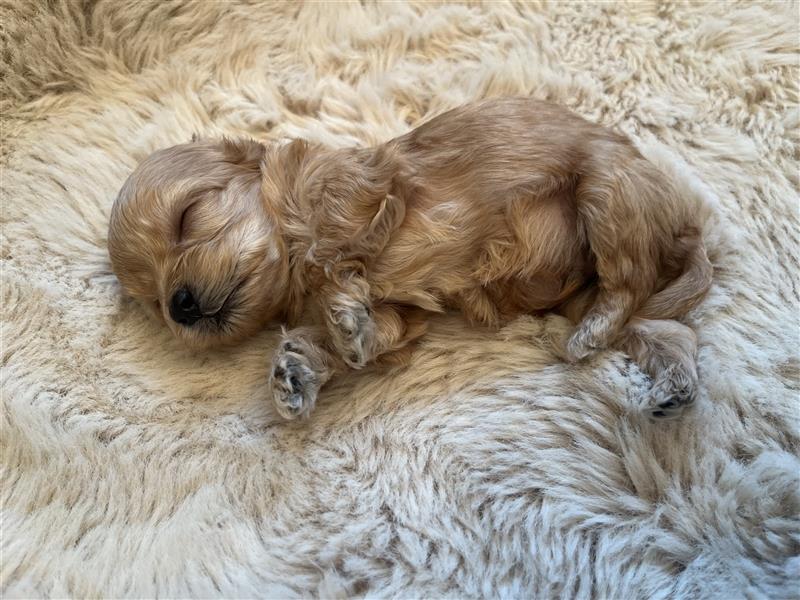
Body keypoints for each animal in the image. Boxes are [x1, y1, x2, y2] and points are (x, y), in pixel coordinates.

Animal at [108, 96, 712, 420]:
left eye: (188, 216)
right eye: (153, 303)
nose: (180, 305)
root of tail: (686, 228)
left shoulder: (364, 195)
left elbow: (336, 254)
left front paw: (337, 306)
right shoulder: (407, 313)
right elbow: (378, 334)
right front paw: (300, 371)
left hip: (607, 192)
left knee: (626, 286)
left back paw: (591, 336)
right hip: (595, 284)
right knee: (669, 329)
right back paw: (672, 389)